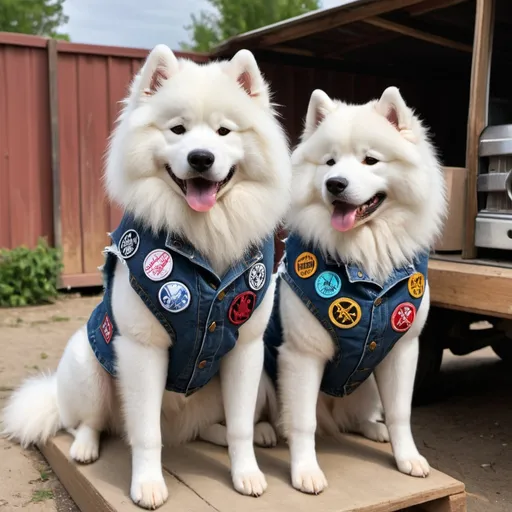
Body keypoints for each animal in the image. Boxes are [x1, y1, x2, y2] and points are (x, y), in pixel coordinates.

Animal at [3, 46, 292, 510]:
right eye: (178, 129)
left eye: (224, 131)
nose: (201, 158)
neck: (203, 241)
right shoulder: (143, 350)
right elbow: (145, 433)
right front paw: (148, 485)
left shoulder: (246, 349)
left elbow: (240, 426)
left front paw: (246, 474)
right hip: (90, 366)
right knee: (88, 421)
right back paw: (84, 448)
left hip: (255, 382)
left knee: (211, 426)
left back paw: (251, 433)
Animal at [262, 89, 446, 496]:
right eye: (329, 162)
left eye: (370, 160)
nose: (335, 183)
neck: (364, 259)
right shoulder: (302, 354)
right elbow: (302, 422)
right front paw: (305, 472)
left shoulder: (402, 350)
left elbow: (400, 412)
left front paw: (407, 458)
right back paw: (265, 432)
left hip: (369, 383)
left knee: (357, 416)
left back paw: (373, 430)